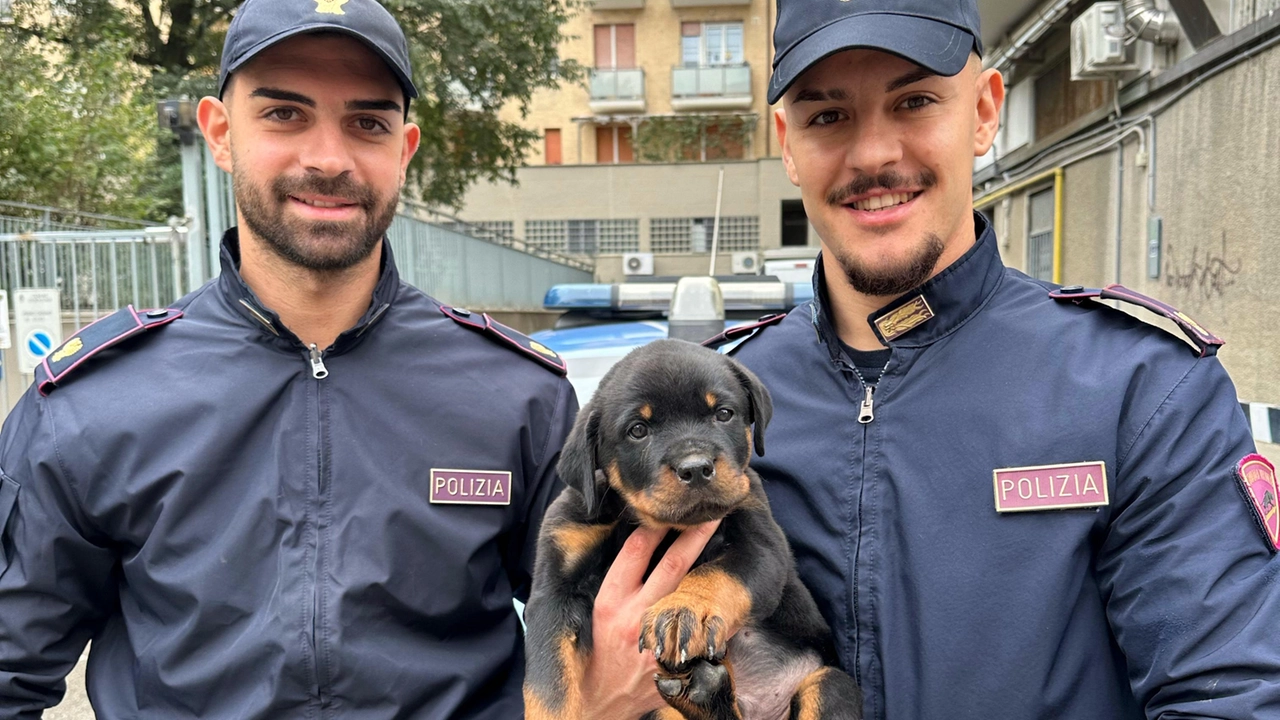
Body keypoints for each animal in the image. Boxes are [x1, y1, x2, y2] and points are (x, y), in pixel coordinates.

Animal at [519, 338, 860, 717]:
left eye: (723, 413)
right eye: (638, 430)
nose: (696, 468)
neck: (652, 522)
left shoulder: (762, 548)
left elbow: (718, 573)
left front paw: (686, 611)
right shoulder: (555, 590)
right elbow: (548, 683)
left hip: (828, 681)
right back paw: (705, 693)